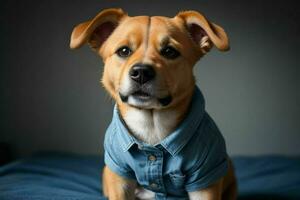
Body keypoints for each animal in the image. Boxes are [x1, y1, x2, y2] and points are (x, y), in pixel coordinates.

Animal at [70, 8, 237, 200]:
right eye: (124, 51)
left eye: (170, 51)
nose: (141, 72)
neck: (150, 123)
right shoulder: (119, 176)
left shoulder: (205, 179)